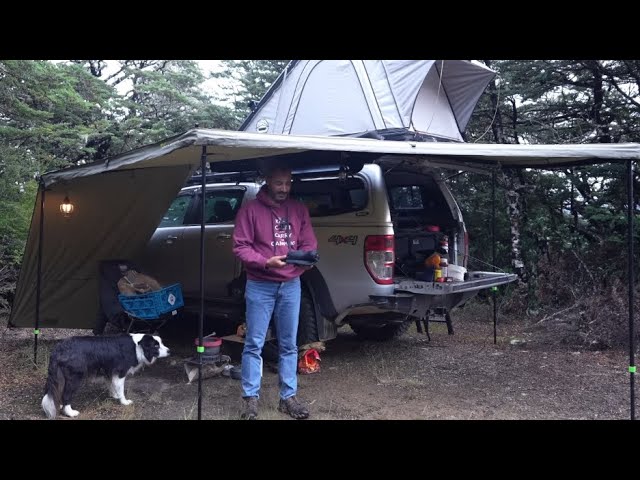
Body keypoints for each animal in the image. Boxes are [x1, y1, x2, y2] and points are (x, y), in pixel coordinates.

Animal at [39, 332, 170, 418]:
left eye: (162, 343)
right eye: (156, 345)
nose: (170, 351)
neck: (137, 346)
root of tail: (58, 349)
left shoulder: (109, 371)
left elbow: (112, 385)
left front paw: (114, 396)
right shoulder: (120, 372)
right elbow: (121, 389)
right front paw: (124, 402)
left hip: (58, 375)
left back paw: (58, 404)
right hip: (75, 377)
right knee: (66, 395)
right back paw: (70, 412)